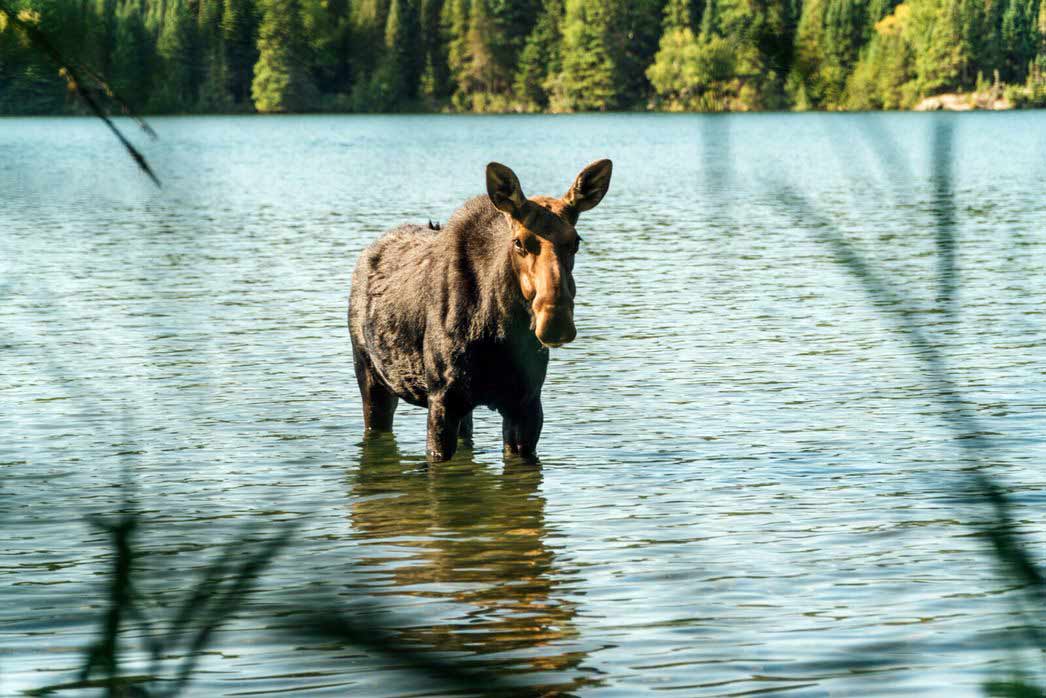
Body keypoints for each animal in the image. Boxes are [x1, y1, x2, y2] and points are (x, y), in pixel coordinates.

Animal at [351, 160, 610, 460]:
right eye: (519, 241)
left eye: (576, 241)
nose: (556, 320)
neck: (498, 328)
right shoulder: (442, 399)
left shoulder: (526, 403)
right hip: (371, 378)